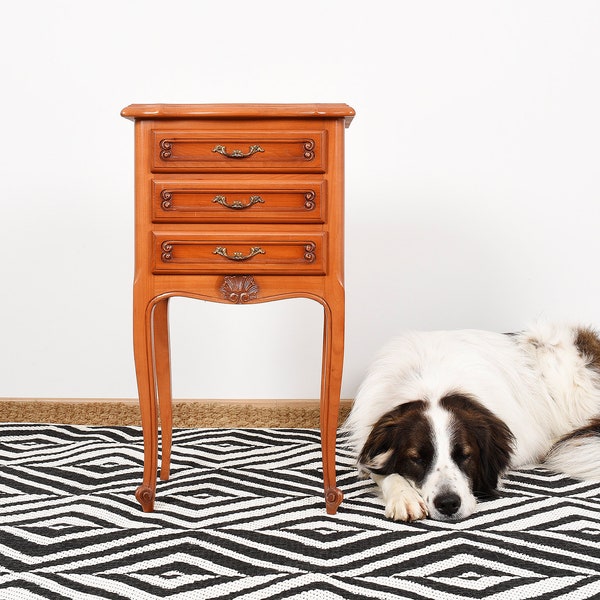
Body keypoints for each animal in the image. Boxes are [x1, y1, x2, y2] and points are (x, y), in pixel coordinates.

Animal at [342, 322, 600, 524]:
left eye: (465, 455)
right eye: (417, 459)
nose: (448, 503)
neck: (431, 383)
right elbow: (384, 471)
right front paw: (404, 497)